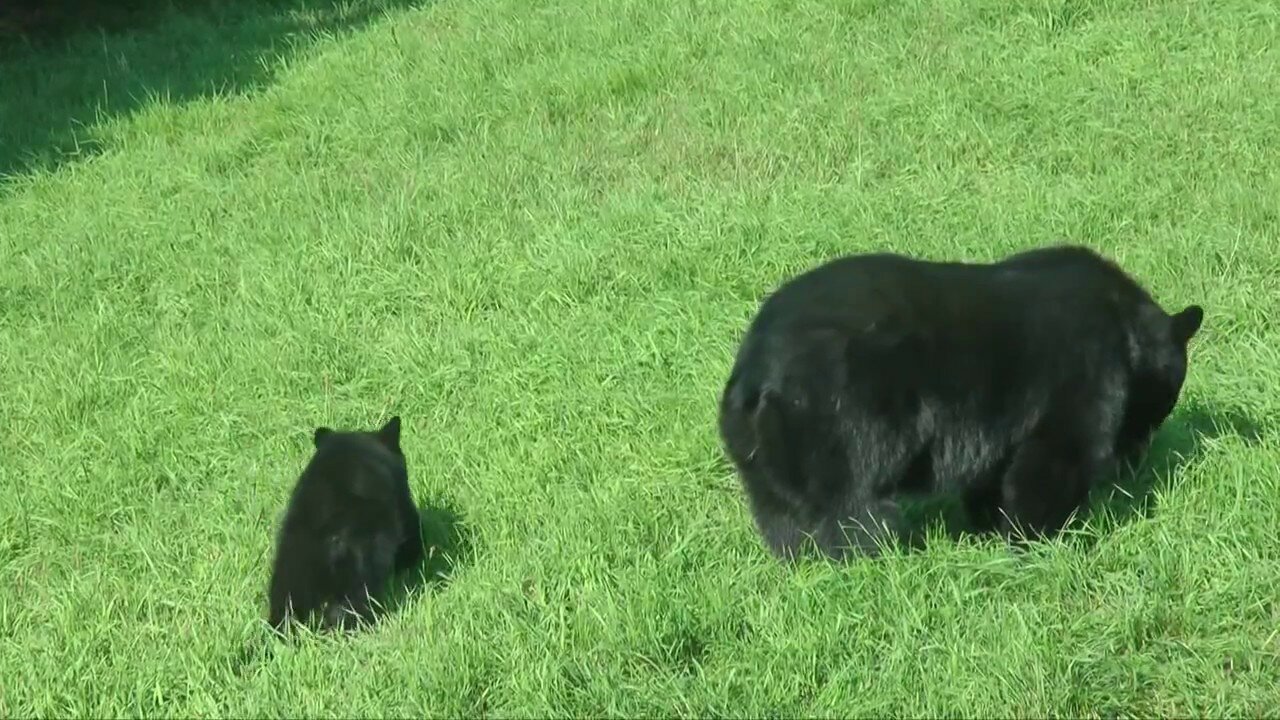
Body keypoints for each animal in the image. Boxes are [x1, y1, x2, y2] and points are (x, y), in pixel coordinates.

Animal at [721, 243, 1198, 558]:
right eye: (1164, 402)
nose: (1137, 459)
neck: (1125, 323)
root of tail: (755, 373)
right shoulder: (1085, 370)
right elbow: (1056, 454)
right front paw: (1037, 540)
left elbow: (996, 469)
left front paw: (989, 524)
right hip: (838, 417)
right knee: (851, 505)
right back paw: (874, 554)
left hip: (760, 448)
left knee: (780, 513)